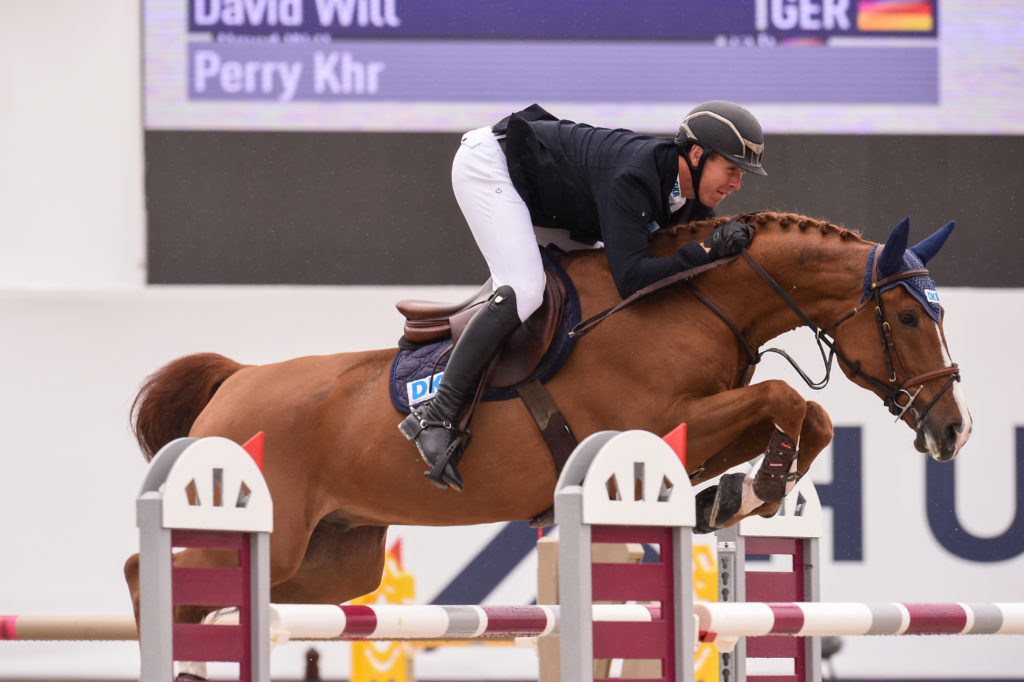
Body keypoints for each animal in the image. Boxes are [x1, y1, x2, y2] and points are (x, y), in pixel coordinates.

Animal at [123, 212, 970, 622]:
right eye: (905, 314)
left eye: (939, 313)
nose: (953, 428)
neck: (691, 301)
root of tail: (237, 381)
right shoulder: (658, 423)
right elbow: (786, 400)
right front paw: (756, 486)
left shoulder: (695, 430)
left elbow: (803, 415)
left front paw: (734, 497)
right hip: (264, 527)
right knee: (146, 573)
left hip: (330, 561)